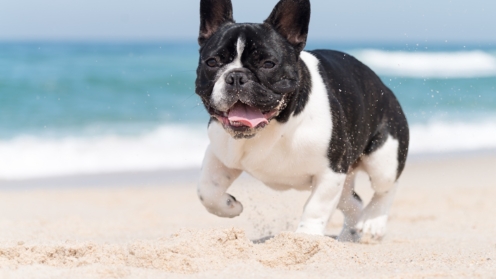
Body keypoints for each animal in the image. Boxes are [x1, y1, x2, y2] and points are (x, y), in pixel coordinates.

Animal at [196, 0, 408, 242]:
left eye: (268, 64)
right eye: (212, 62)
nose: (236, 76)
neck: (275, 125)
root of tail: (384, 88)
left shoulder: (331, 170)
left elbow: (316, 206)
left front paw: (306, 238)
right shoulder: (220, 153)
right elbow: (206, 189)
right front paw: (229, 205)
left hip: (383, 159)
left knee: (386, 188)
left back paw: (373, 223)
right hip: (346, 180)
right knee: (353, 202)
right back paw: (349, 236)